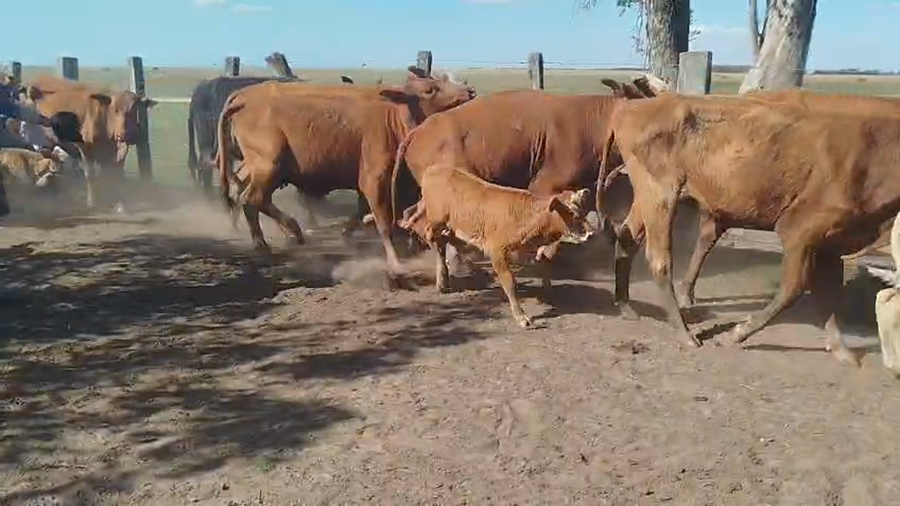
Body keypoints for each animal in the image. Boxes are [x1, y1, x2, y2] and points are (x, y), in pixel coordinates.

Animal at [24, 76, 157, 209]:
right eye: (115, 110)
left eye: (135, 110)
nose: (127, 134)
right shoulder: (85, 148)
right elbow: (91, 175)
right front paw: (93, 202)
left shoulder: (115, 153)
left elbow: (114, 175)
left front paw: (118, 203)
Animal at [216, 66, 476, 277]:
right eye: (430, 89)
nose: (470, 91)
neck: (393, 113)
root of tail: (243, 97)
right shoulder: (374, 179)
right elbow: (384, 222)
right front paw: (395, 262)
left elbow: (361, 214)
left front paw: (347, 234)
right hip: (269, 166)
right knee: (251, 198)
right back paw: (287, 233)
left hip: (255, 167)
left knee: (242, 193)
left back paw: (269, 238)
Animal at [399, 163, 594, 328]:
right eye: (571, 213)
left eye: (583, 210)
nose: (591, 233)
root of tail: (436, 168)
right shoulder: (497, 251)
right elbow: (509, 282)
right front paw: (521, 317)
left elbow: (545, 263)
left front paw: (546, 293)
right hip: (437, 220)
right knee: (431, 236)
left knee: (442, 241)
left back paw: (445, 280)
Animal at [595, 92, 900, 366]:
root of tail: (632, 106)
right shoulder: (799, 230)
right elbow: (794, 288)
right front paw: (738, 333)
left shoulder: (832, 242)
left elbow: (830, 295)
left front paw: (842, 351)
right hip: (662, 194)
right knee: (660, 260)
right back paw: (685, 334)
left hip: (648, 198)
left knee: (627, 239)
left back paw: (626, 306)